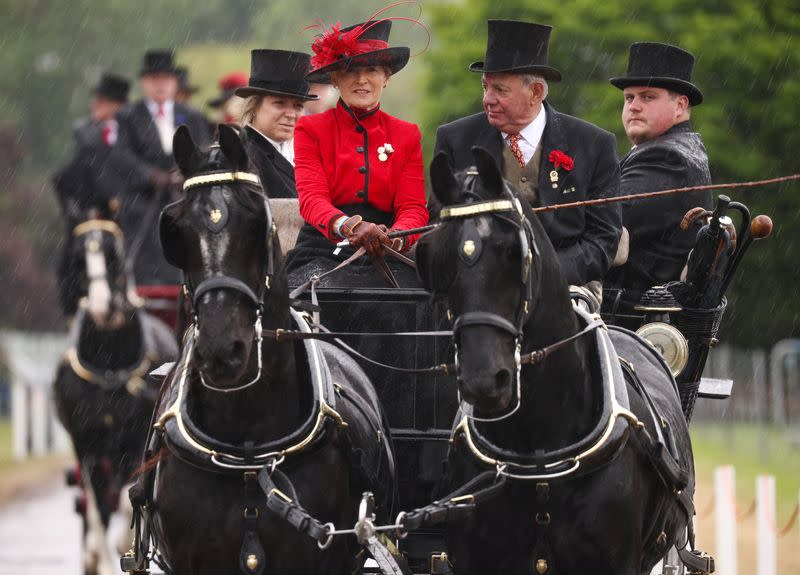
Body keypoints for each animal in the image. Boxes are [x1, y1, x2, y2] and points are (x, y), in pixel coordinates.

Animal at [53, 214, 178, 572]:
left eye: (114, 255)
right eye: (77, 259)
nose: (102, 308)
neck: (109, 367)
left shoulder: (134, 441)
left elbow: (128, 501)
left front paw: (126, 546)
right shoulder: (89, 445)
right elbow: (97, 509)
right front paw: (102, 557)